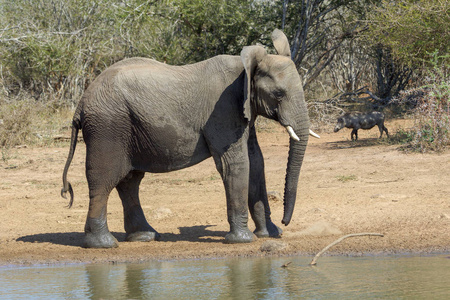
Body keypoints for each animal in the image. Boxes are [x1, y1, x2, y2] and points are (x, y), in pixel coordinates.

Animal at [61, 28, 318, 248]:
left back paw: (145, 236)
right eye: (278, 94)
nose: (285, 221)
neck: (245, 67)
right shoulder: (223, 109)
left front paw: (270, 234)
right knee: (104, 180)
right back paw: (103, 244)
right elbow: (235, 164)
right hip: (108, 126)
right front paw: (242, 240)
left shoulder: (243, 110)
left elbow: (256, 162)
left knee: (130, 181)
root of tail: (81, 104)